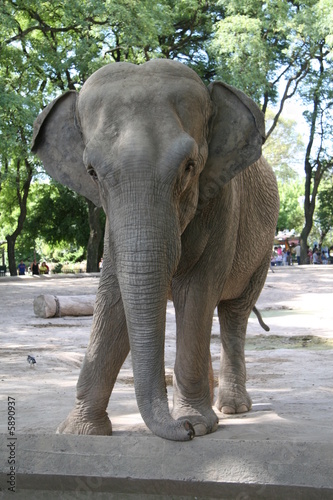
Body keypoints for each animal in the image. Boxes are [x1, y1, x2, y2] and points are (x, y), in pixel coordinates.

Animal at [32, 59, 278, 442]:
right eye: (92, 172)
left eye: (189, 166)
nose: (185, 431)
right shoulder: (113, 224)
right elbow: (114, 297)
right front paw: (80, 432)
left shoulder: (223, 203)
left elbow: (197, 290)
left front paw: (199, 423)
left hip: (263, 251)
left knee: (232, 314)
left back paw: (231, 408)